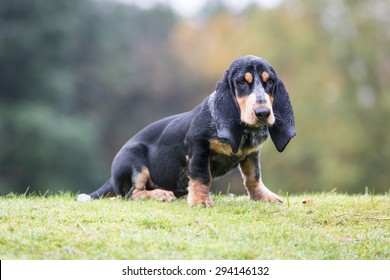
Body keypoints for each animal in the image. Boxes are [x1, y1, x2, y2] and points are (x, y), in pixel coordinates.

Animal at [77, 55, 296, 207]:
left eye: (269, 82)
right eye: (243, 82)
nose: (263, 113)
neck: (244, 131)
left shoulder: (252, 154)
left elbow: (253, 178)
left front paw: (264, 197)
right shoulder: (198, 146)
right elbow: (201, 176)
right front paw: (200, 201)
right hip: (135, 161)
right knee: (131, 194)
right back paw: (161, 194)